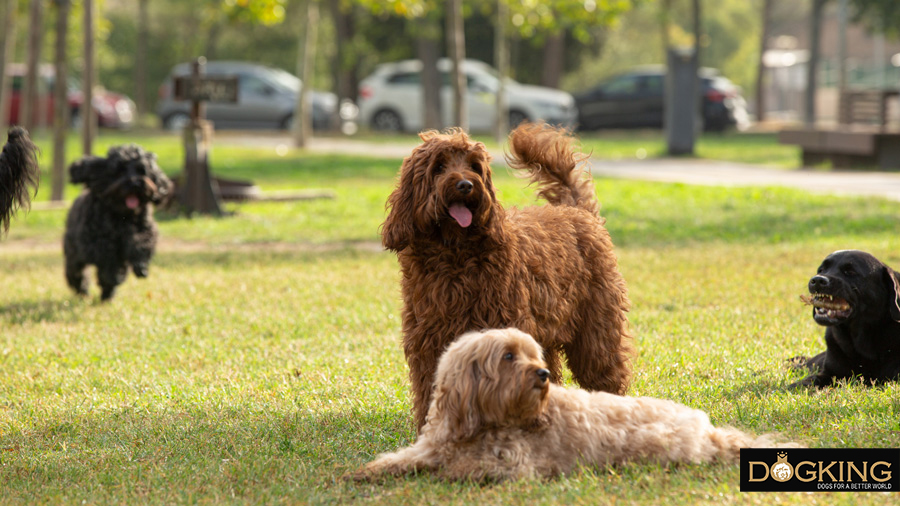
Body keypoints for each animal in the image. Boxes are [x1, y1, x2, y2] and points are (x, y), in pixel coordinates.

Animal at [63, 143, 172, 300]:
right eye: (119, 171)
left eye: (142, 170)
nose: (135, 183)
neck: (122, 215)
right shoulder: (96, 241)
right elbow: (109, 260)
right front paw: (114, 275)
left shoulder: (144, 230)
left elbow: (141, 243)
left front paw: (141, 267)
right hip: (73, 253)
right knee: (76, 273)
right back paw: (84, 290)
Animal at [352, 328, 788, 482]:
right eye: (508, 356)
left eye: (534, 355)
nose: (544, 373)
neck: (482, 422)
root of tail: (708, 428)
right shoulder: (434, 442)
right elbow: (405, 456)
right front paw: (371, 470)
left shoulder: (516, 464)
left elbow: (464, 467)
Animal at [380, 122, 632, 426]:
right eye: (438, 167)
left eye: (474, 167)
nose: (466, 185)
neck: (455, 256)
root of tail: (576, 211)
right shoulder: (429, 342)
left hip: (596, 328)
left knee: (605, 373)